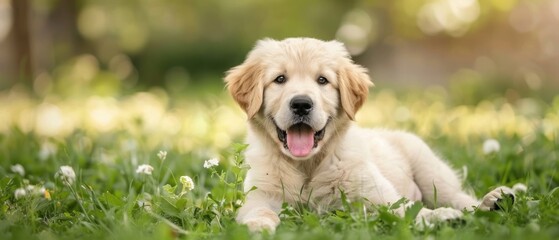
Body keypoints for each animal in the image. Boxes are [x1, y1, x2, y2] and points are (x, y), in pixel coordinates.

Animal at [225, 38, 516, 232]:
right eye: (280, 79)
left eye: (322, 80)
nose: (301, 104)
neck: (308, 165)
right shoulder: (261, 194)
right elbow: (259, 211)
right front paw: (257, 226)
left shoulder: (376, 194)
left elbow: (404, 209)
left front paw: (439, 216)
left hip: (431, 171)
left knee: (459, 197)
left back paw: (493, 201)